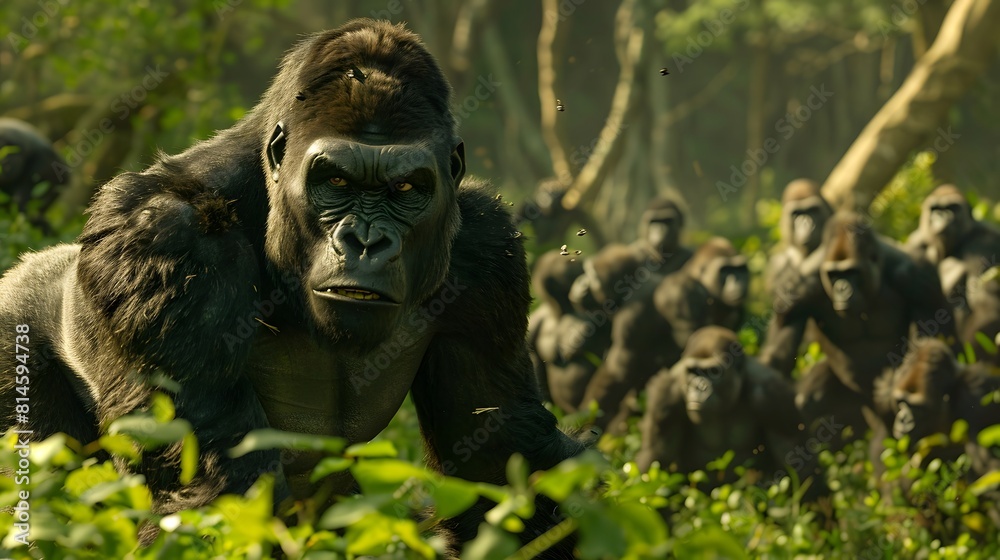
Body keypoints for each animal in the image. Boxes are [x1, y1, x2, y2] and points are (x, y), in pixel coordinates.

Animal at [1, 18, 584, 556]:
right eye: (336, 181)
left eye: (406, 189)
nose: (366, 241)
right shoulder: (166, 236)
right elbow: (220, 488)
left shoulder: (489, 251)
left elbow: (497, 464)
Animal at [760, 212, 956, 448]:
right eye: (834, 275)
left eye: (851, 272)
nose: (842, 288)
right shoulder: (797, 286)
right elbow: (779, 355)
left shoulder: (918, 275)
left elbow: (928, 341)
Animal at [904, 186, 1000, 366]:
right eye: (935, 209)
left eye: (952, 208)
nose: (942, 216)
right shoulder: (914, 240)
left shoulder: (986, 241)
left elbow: (988, 306)